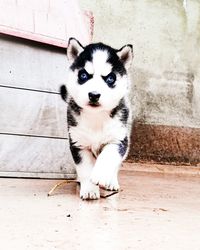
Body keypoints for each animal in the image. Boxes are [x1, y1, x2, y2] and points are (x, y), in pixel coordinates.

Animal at [60, 38, 134, 200]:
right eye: (83, 75)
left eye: (110, 78)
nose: (94, 95)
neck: (96, 117)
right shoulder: (79, 144)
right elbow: (86, 168)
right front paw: (89, 189)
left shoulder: (118, 139)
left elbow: (108, 157)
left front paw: (101, 175)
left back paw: (111, 181)